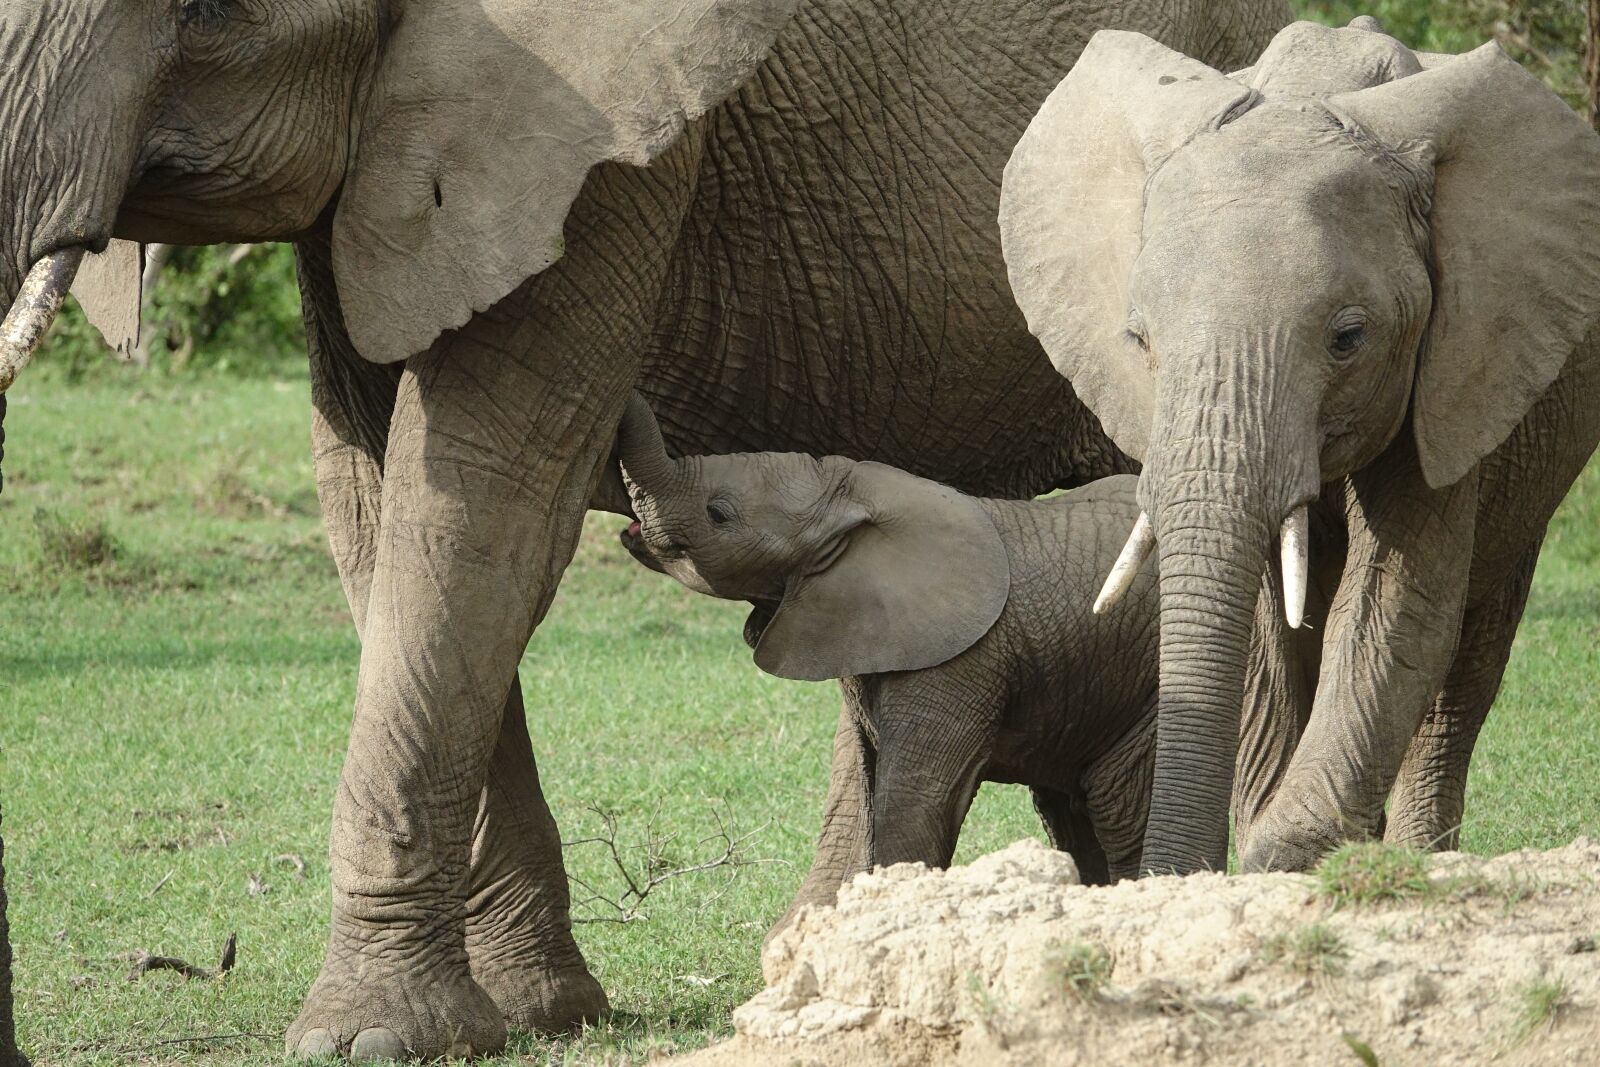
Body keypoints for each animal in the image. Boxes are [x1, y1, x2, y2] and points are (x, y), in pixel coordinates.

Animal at [612, 396, 1159, 903]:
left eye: (718, 513)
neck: (851, 498)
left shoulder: (962, 663)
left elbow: (917, 800)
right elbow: (870, 792)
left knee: (1115, 808)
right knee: (1067, 813)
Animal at [998, 17, 1600, 876]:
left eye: (1349, 338)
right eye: (1137, 339)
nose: (1179, 867)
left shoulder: (1453, 362)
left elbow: (1394, 607)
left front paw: (1283, 854)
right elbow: (1261, 631)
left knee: (1470, 657)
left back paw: (1414, 854)